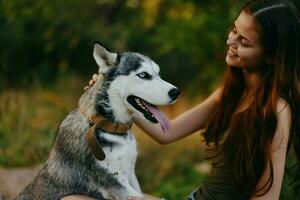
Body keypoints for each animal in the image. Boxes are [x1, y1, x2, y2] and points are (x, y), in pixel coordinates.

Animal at [15, 42, 179, 200]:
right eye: (143, 75)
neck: (106, 125)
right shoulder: (118, 184)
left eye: (158, 74)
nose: (176, 92)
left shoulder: (131, 175)